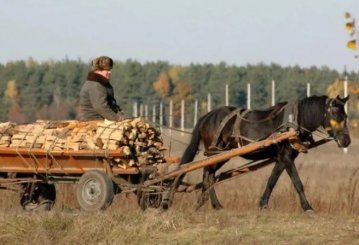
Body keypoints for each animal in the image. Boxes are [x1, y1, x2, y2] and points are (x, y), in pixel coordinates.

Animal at [180, 94, 352, 212]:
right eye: (335, 115)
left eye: (346, 116)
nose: (346, 141)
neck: (294, 122)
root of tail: (207, 116)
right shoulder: (286, 157)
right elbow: (297, 182)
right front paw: (307, 208)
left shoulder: (282, 158)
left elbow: (272, 181)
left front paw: (263, 204)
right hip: (217, 153)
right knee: (208, 174)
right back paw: (208, 203)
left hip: (220, 154)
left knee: (208, 174)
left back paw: (208, 203)